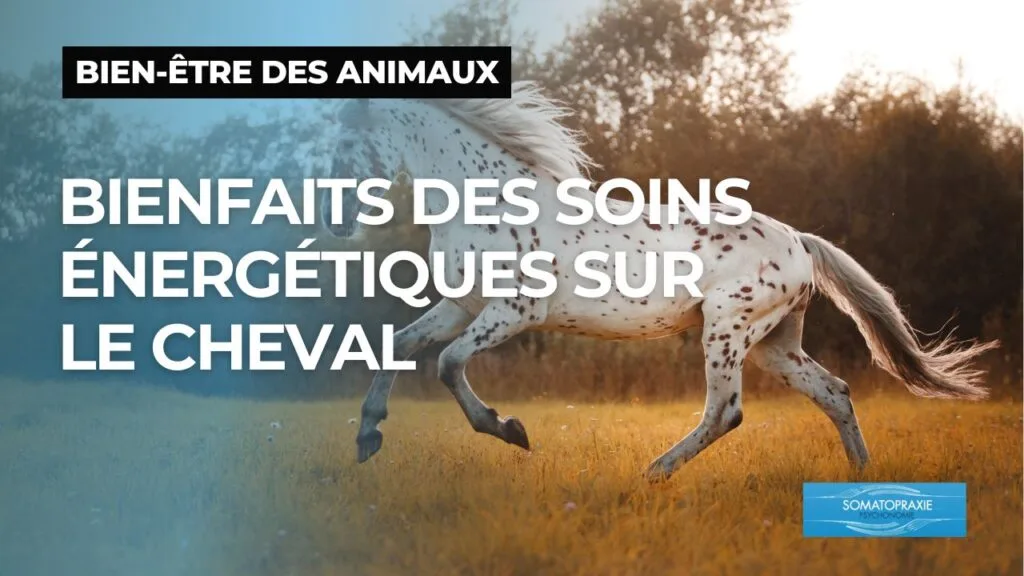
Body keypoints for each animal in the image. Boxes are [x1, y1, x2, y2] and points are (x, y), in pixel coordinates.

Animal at [318, 81, 998, 482]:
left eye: (345, 141)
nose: (335, 216)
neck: (489, 199)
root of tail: (799, 241)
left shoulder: (512, 311)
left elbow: (447, 364)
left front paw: (511, 431)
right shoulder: (462, 305)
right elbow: (400, 347)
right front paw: (367, 437)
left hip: (727, 331)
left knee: (725, 412)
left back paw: (653, 473)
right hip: (776, 344)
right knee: (834, 393)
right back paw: (860, 479)